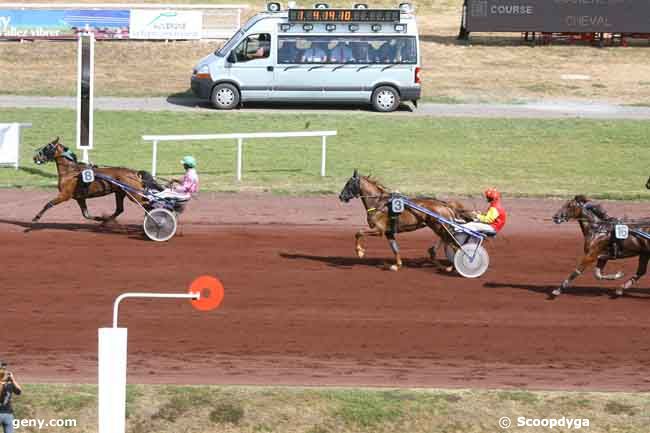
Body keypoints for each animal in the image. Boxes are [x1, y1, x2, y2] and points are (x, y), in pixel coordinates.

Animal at [31, 137, 161, 223]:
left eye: (47, 147)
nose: (35, 157)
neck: (71, 172)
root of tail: (134, 172)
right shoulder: (80, 198)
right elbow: (86, 214)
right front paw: (99, 218)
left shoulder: (65, 195)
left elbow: (49, 204)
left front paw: (36, 217)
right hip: (120, 193)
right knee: (120, 209)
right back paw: (106, 220)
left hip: (133, 195)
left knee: (148, 205)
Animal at [340, 169, 470, 270]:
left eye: (348, 184)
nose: (341, 196)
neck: (379, 203)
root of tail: (446, 205)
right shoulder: (389, 232)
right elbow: (395, 248)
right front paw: (397, 265)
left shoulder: (379, 230)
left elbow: (359, 232)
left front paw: (360, 252)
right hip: (442, 228)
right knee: (448, 243)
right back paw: (438, 259)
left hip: (440, 228)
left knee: (455, 246)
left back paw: (453, 265)